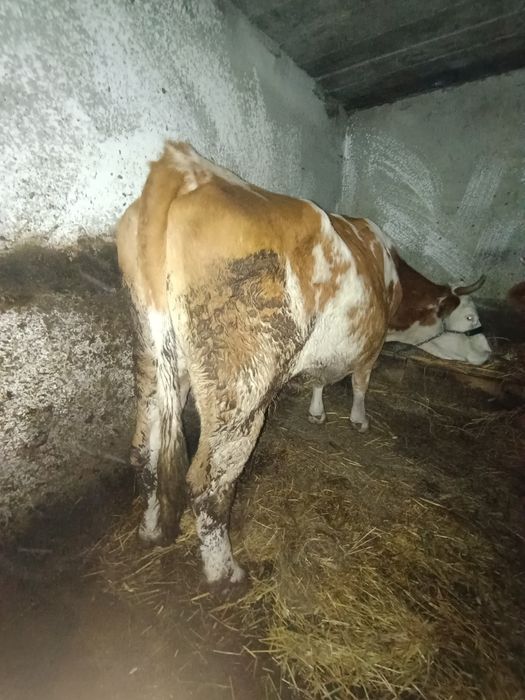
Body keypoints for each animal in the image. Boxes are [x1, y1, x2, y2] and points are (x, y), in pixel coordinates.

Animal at [116, 141, 489, 589]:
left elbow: (320, 378)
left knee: (145, 451)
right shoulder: (370, 346)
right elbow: (360, 384)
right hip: (242, 390)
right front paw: (358, 420)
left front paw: (316, 411)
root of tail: (186, 167)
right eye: (469, 316)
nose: (489, 352)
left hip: (153, 359)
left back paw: (150, 530)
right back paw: (225, 574)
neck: (391, 276)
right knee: (209, 485)